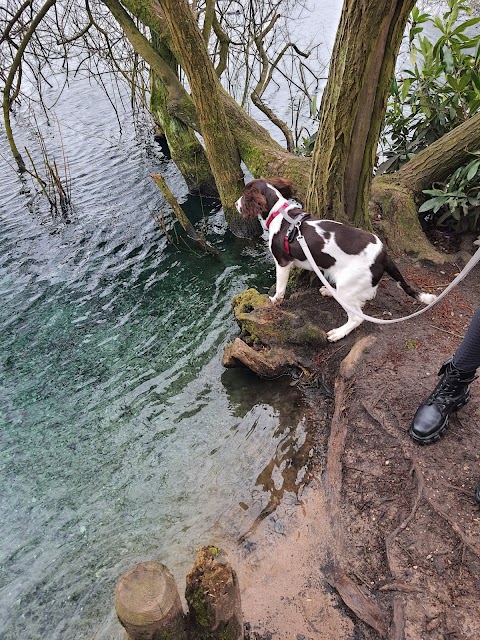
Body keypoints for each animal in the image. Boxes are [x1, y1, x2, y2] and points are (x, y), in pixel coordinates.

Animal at [234, 178, 436, 342]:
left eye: (243, 195)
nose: (235, 203)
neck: (280, 214)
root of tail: (383, 254)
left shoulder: (282, 262)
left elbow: (280, 288)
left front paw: (275, 300)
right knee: (367, 295)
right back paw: (330, 291)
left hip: (348, 286)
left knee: (357, 317)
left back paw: (338, 333)